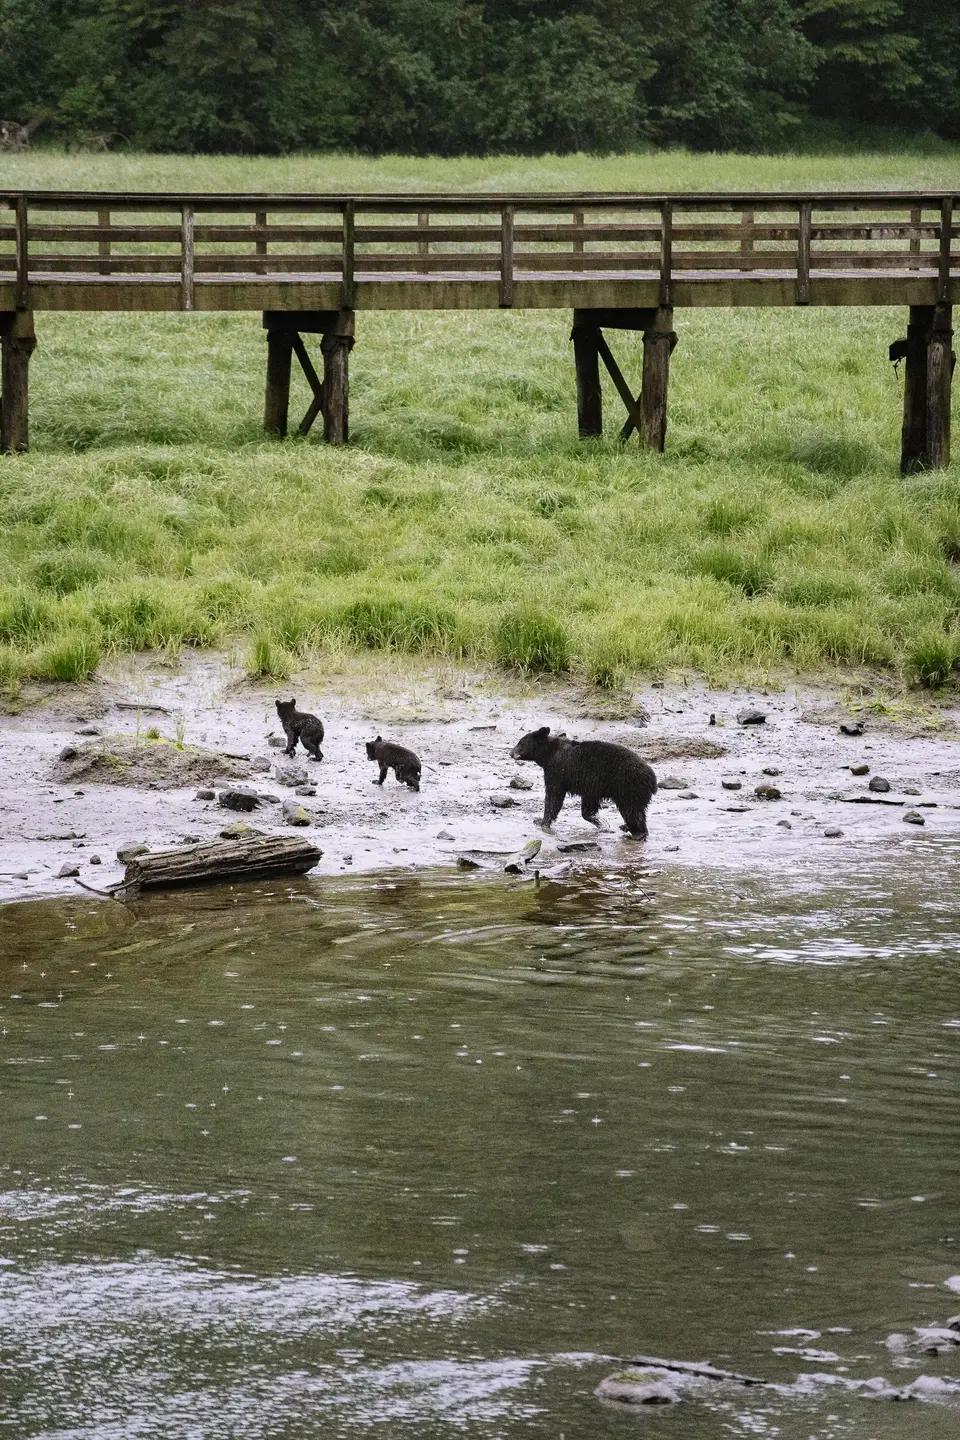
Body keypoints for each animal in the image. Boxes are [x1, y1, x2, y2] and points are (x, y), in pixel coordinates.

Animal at [510, 726, 656, 838]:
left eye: (520, 742)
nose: (511, 753)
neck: (548, 754)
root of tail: (652, 779)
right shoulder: (590, 786)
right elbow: (588, 806)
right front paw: (600, 822)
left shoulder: (557, 771)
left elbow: (553, 797)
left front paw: (541, 821)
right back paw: (626, 827)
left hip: (628, 786)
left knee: (632, 811)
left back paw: (637, 833)